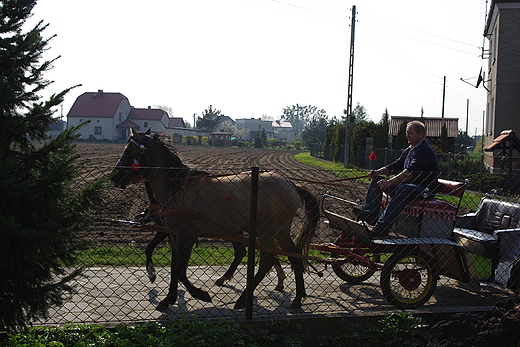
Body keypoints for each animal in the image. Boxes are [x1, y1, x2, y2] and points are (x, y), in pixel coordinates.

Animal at [111, 128, 318, 312]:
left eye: (129, 150)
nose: (114, 177)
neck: (178, 188)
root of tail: (290, 183)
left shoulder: (186, 236)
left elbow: (179, 270)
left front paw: (199, 294)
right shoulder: (174, 236)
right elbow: (174, 268)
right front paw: (168, 298)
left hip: (266, 230)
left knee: (267, 260)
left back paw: (243, 299)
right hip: (278, 231)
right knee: (294, 257)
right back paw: (297, 298)